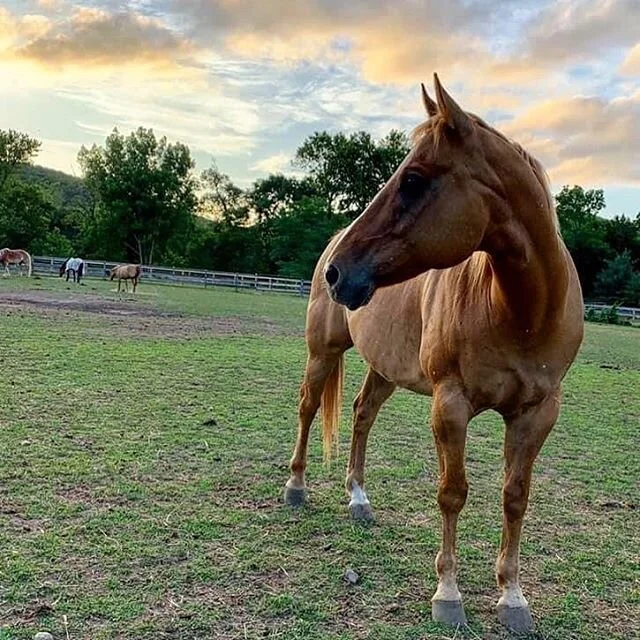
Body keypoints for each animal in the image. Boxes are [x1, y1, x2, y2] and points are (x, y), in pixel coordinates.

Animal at [283, 74, 584, 633]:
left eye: (414, 180)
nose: (338, 272)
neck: (521, 311)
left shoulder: (537, 413)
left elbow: (515, 497)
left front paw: (512, 597)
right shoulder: (451, 404)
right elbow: (453, 492)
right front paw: (448, 593)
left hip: (384, 368)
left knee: (361, 416)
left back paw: (358, 498)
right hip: (323, 351)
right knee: (309, 408)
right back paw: (295, 487)